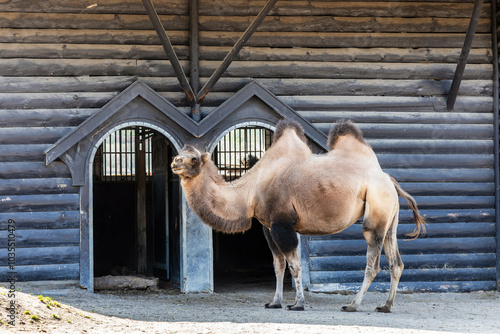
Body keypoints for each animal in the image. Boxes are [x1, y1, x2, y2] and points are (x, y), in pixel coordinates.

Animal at [172, 118, 426, 312]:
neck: (251, 190)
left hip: (376, 211)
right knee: (396, 262)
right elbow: (278, 265)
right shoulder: (268, 226)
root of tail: (389, 179)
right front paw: (274, 302)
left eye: (193, 158)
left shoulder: (282, 224)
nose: (175, 161)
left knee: (373, 262)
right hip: (389, 216)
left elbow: (294, 265)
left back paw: (353, 305)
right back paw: (386, 306)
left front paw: (298, 304)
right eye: (180, 152)